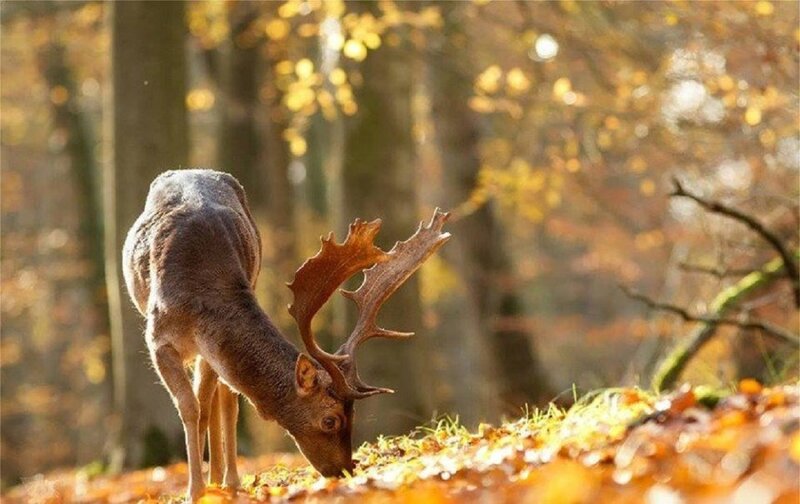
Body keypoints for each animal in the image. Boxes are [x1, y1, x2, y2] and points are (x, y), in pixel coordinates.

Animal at [122, 169, 450, 501]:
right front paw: (195, 492)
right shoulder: (159, 338)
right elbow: (190, 408)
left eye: (354, 416)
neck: (201, 288)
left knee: (226, 398)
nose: (344, 470)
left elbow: (206, 406)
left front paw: (208, 487)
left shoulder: (208, 346)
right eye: (330, 420)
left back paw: (228, 481)